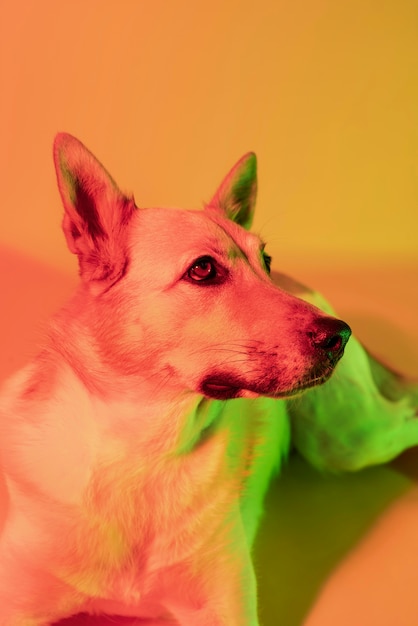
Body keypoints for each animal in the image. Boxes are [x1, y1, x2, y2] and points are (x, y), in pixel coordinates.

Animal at [0, 134, 416, 620]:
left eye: (265, 261)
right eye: (202, 269)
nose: (340, 335)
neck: (141, 456)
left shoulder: (223, 607)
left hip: (349, 439)